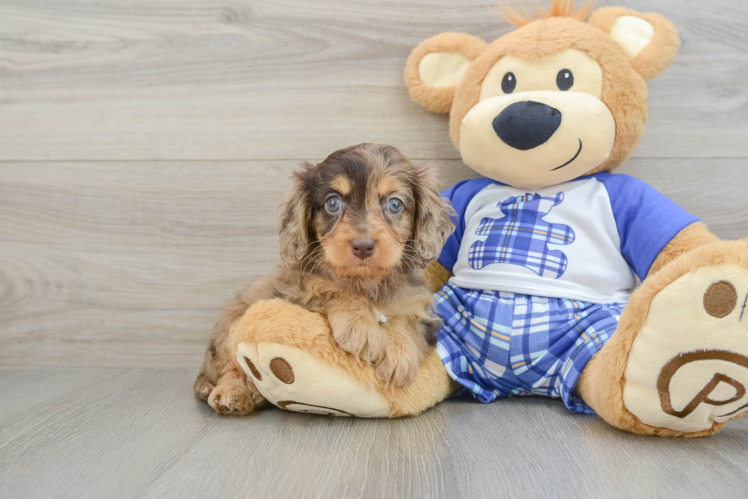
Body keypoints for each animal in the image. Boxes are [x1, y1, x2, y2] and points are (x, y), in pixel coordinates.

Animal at [193, 144, 452, 414]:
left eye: (394, 204)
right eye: (333, 202)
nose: (363, 246)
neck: (366, 281)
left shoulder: (420, 307)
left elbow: (408, 321)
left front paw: (399, 355)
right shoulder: (297, 292)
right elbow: (330, 289)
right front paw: (360, 327)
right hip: (231, 329)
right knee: (231, 368)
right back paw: (233, 394)